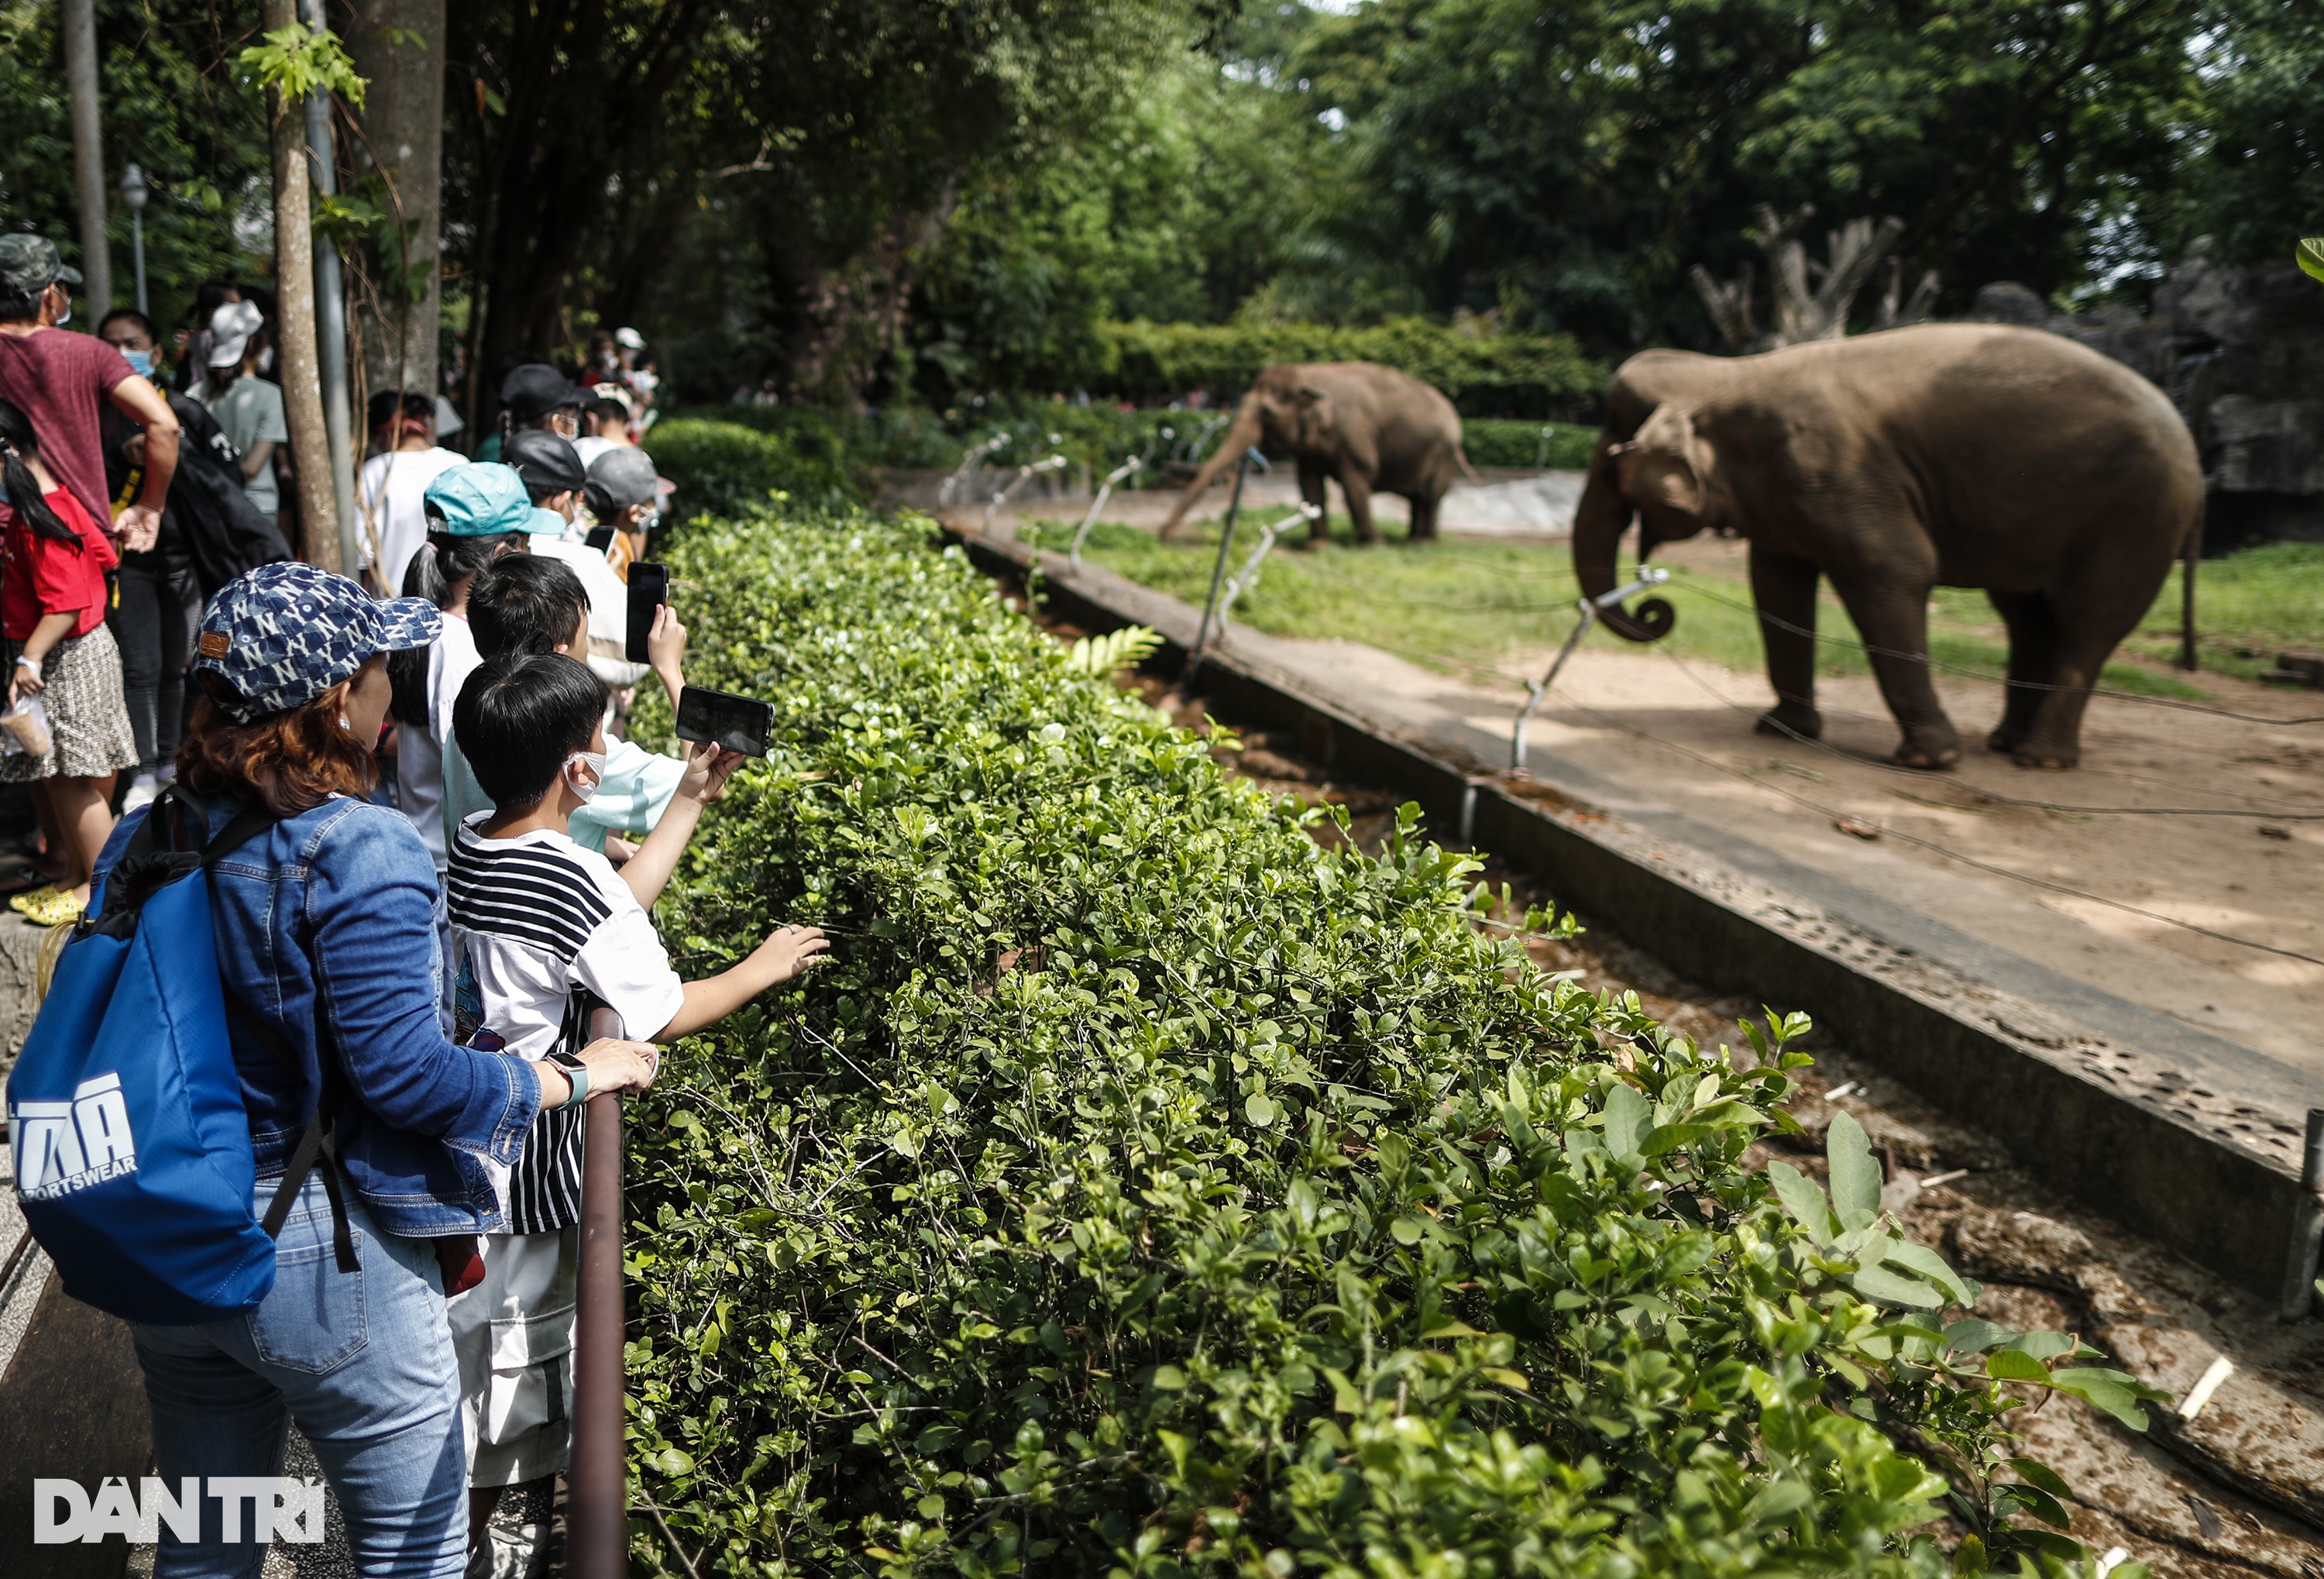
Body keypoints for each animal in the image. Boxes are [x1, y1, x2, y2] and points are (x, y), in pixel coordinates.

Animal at [1157, 365, 1469, 549]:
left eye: (1267, 413)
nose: (1162, 537)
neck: (1309, 376)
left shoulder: (1355, 434)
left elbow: (1355, 484)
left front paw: (1374, 545)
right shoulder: (1312, 449)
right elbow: (1309, 484)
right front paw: (1319, 547)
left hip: (1443, 452)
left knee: (1431, 496)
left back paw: (1424, 544)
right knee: (1419, 499)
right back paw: (1414, 540)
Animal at [1562, 323, 2194, 767]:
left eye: (1610, 462)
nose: (1653, 609)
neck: (1726, 373)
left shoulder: (1834, 469)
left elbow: (1890, 568)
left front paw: (1930, 760)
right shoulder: (1783, 492)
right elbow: (1776, 586)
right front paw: (1781, 732)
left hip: (2136, 518)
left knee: (2087, 623)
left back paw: (2040, 760)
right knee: (2027, 615)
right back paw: (2005, 744)